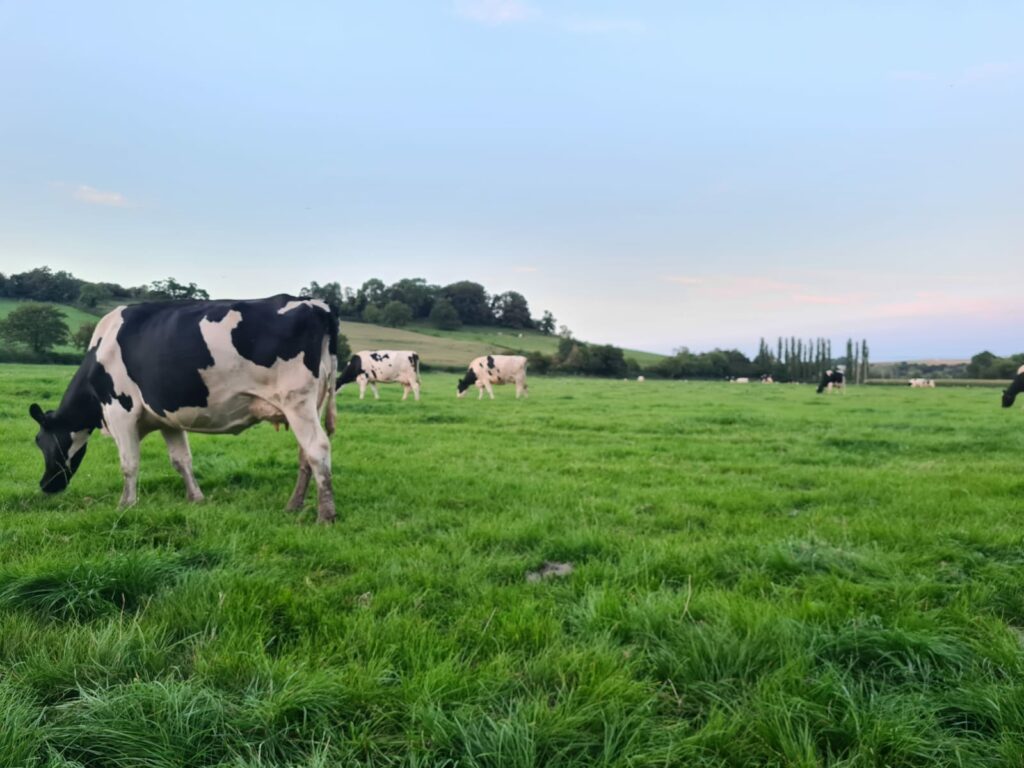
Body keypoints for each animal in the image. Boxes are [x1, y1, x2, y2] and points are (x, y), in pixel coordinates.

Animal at [28, 295, 340, 523]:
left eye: (41, 441)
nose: (45, 485)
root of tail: (315, 304)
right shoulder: (168, 419)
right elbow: (181, 460)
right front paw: (196, 498)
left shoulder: (120, 410)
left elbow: (129, 463)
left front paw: (125, 504)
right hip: (310, 403)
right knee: (305, 455)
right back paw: (294, 505)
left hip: (296, 400)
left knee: (318, 448)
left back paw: (325, 515)